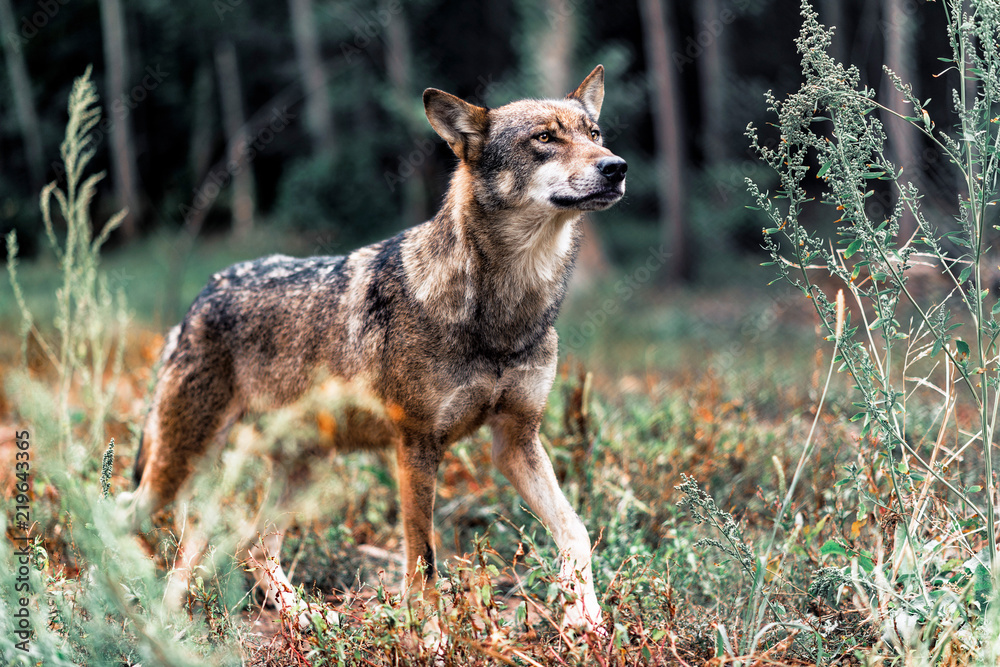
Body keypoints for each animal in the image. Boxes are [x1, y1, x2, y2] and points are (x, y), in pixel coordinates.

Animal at [125, 64, 627, 631]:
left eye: (594, 134)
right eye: (544, 139)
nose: (616, 167)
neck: (502, 311)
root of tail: (200, 295)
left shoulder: (515, 441)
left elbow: (575, 531)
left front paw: (589, 621)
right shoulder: (417, 446)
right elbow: (423, 563)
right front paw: (432, 640)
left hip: (299, 469)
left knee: (249, 547)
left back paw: (301, 618)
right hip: (177, 469)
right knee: (127, 518)